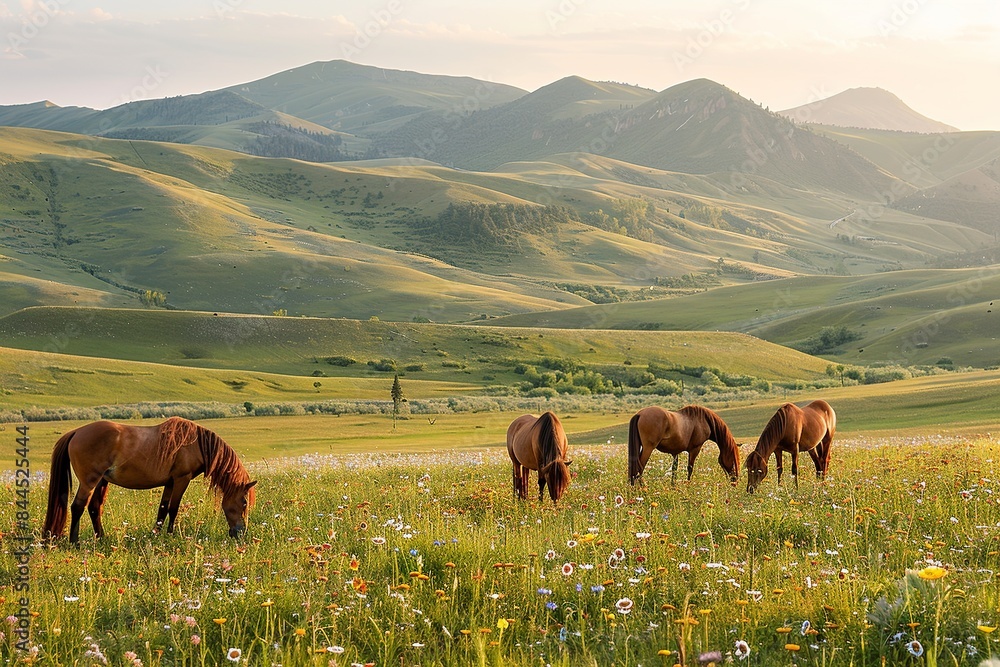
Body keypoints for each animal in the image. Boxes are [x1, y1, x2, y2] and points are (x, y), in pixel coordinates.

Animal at [43, 417, 257, 543]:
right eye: (244, 502)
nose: (240, 532)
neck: (196, 444)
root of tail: (76, 432)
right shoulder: (181, 479)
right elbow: (174, 508)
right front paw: (171, 535)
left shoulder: (170, 482)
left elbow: (163, 509)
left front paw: (156, 534)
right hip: (90, 481)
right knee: (77, 506)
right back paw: (75, 542)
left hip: (102, 482)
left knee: (94, 507)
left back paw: (101, 537)